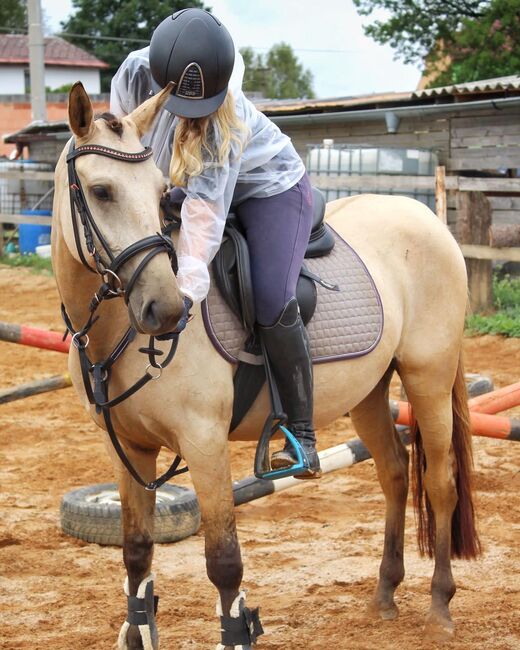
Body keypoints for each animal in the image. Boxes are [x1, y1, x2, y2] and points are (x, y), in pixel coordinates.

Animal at [51, 82, 480, 648]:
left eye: (162, 191)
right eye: (101, 191)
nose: (167, 310)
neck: (113, 333)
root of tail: (427, 218)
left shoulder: (204, 442)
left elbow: (224, 561)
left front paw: (237, 630)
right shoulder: (127, 449)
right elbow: (137, 552)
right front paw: (136, 630)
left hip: (428, 376)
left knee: (440, 481)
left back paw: (439, 605)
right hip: (369, 392)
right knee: (394, 472)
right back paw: (385, 594)